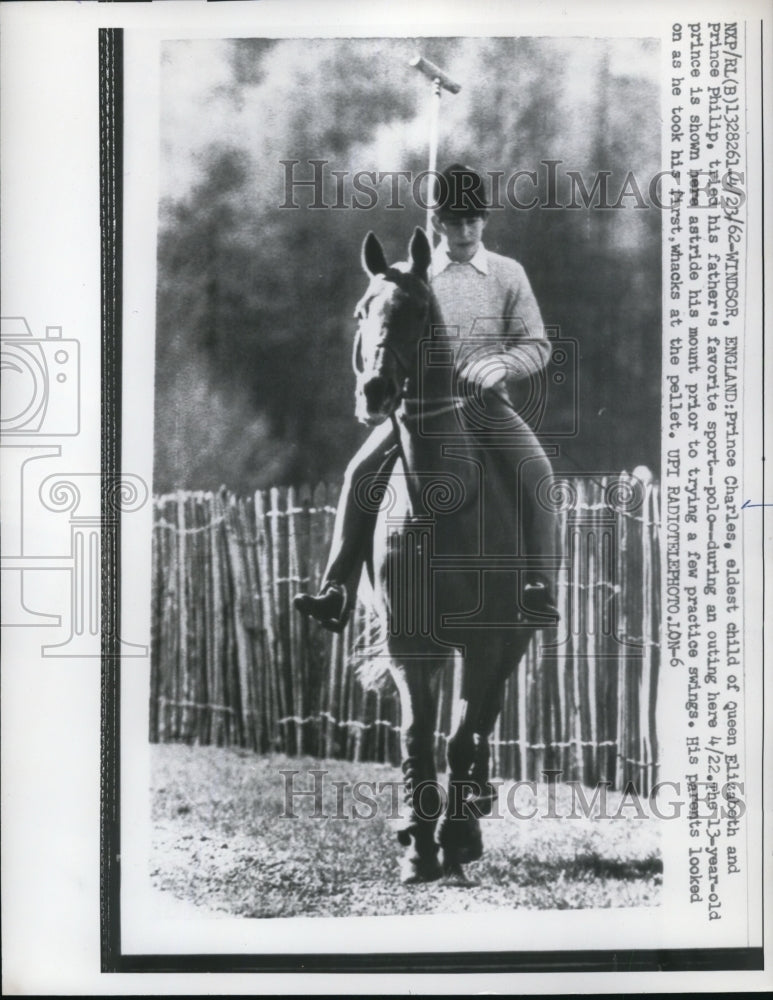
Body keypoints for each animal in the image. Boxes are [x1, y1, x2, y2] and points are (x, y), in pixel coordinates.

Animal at [352, 229, 540, 884]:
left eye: (414, 313)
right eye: (362, 312)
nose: (374, 393)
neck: (441, 498)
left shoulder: (487, 638)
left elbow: (463, 735)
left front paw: (454, 839)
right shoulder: (412, 642)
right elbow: (417, 735)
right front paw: (417, 842)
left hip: (511, 638)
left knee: (481, 719)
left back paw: (474, 810)